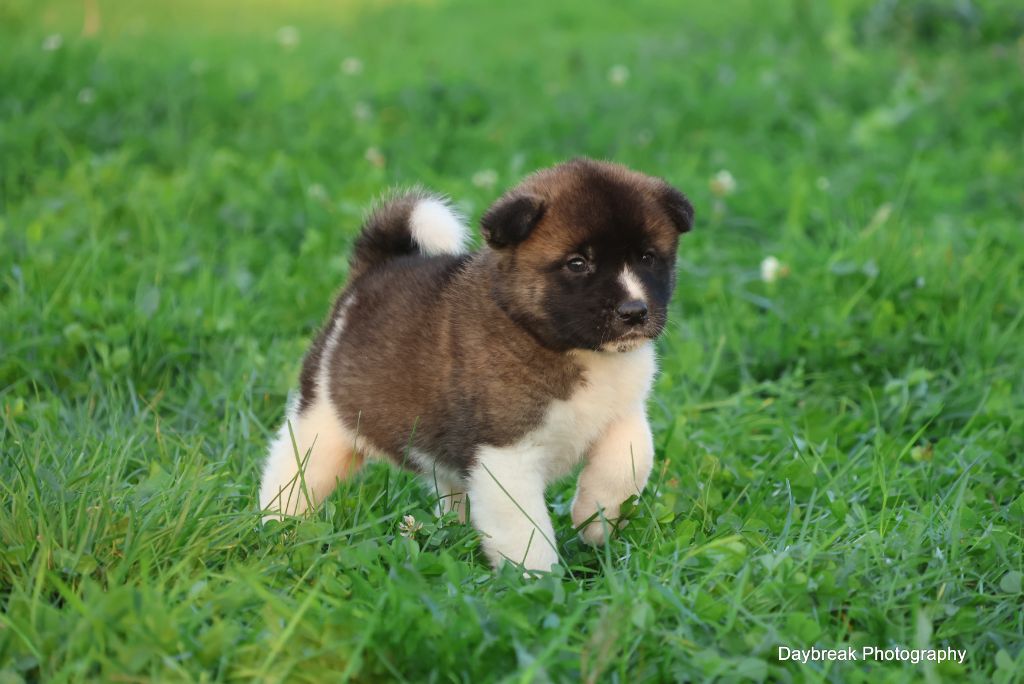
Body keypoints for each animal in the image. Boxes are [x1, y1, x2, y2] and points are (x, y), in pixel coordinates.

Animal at [260, 157, 696, 569]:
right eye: (577, 263)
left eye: (647, 258)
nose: (634, 312)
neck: (570, 348)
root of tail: (373, 271)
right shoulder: (505, 457)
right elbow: (526, 531)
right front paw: (538, 583)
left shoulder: (623, 413)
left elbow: (630, 459)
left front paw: (598, 520)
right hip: (323, 421)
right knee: (293, 473)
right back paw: (276, 530)